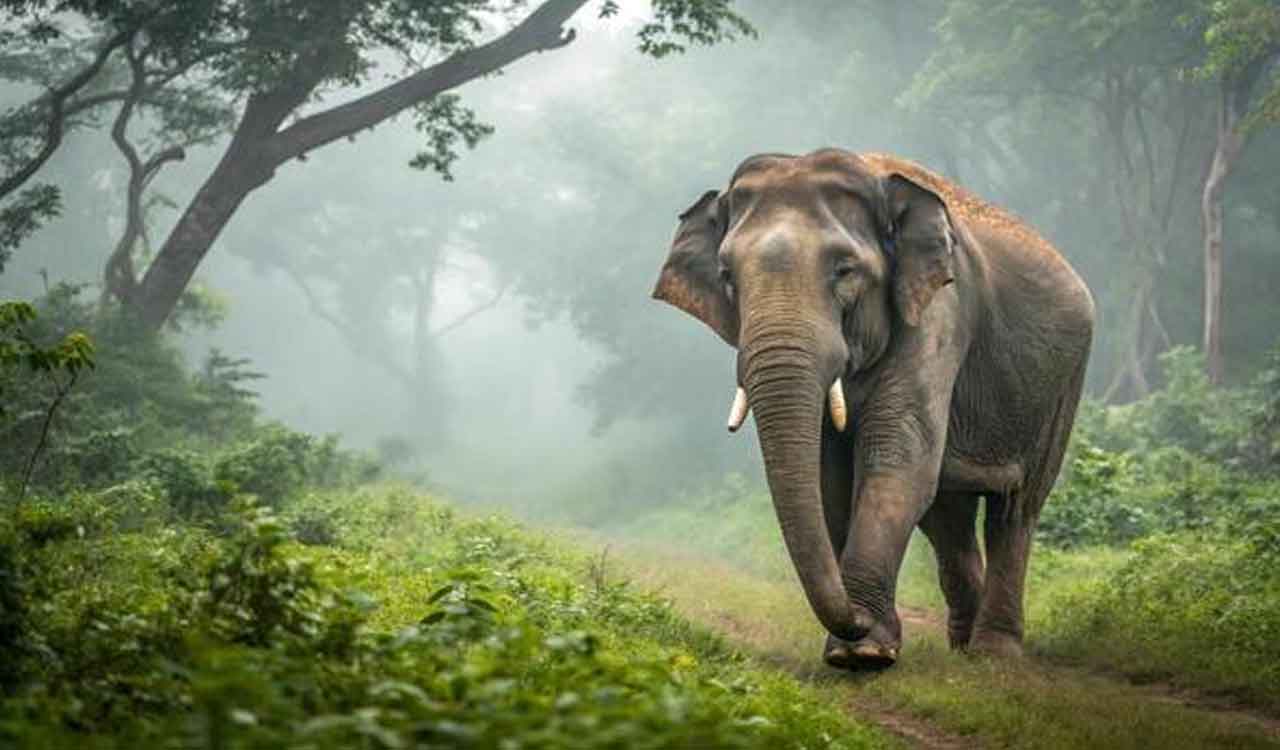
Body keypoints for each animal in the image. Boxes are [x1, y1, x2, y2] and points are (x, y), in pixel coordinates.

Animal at [652, 149, 1094, 669]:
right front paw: (856, 647)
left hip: (1062, 388)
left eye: (845, 270)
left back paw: (994, 654)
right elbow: (833, 478)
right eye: (726, 277)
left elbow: (897, 460)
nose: (856, 620)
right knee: (947, 514)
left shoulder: (940, 311)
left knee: (1015, 509)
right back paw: (962, 647)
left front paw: (864, 652)